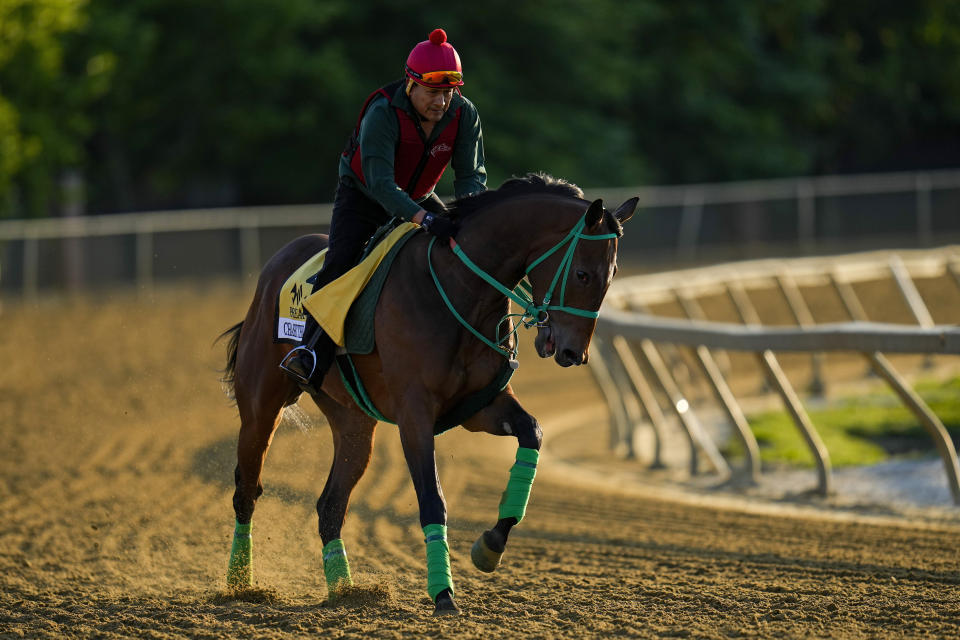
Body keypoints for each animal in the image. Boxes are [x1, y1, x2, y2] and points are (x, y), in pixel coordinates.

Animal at [220, 172, 632, 612]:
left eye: (612, 275)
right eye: (583, 274)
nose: (575, 353)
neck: (459, 289)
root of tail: (277, 263)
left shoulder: (481, 406)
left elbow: (532, 433)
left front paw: (490, 545)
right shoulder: (414, 413)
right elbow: (433, 498)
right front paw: (443, 592)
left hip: (354, 424)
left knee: (330, 506)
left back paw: (345, 591)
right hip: (261, 407)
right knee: (247, 490)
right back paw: (240, 584)